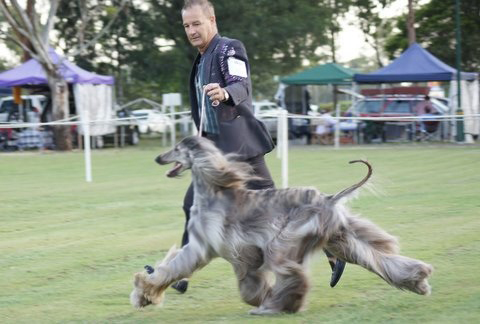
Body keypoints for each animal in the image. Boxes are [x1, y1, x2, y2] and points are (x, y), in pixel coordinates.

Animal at [129, 136, 434, 314]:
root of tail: (328, 199)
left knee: (293, 275)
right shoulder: (201, 247)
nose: (158, 158)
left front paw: (260, 299)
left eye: (176, 149)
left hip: (285, 240)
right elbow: (170, 270)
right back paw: (418, 280)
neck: (214, 193)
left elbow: (246, 284)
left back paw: (276, 307)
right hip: (343, 238)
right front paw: (144, 294)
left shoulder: (231, 250)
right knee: (378, 257)